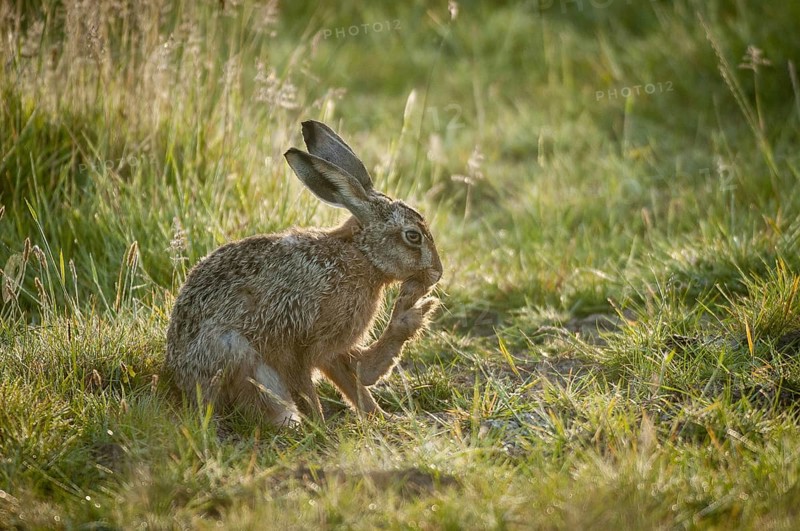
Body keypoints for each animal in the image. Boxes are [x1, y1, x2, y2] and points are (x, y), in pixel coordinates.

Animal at [165, 120, 442, 426]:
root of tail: (181, 380)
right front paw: (322, 427)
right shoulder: (302, 343)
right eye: (413, 236)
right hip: (237, 353)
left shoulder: (331, 347)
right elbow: (312, 387)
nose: (437, 273)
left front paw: (384, 417)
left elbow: (353, 382)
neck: (362, 255)